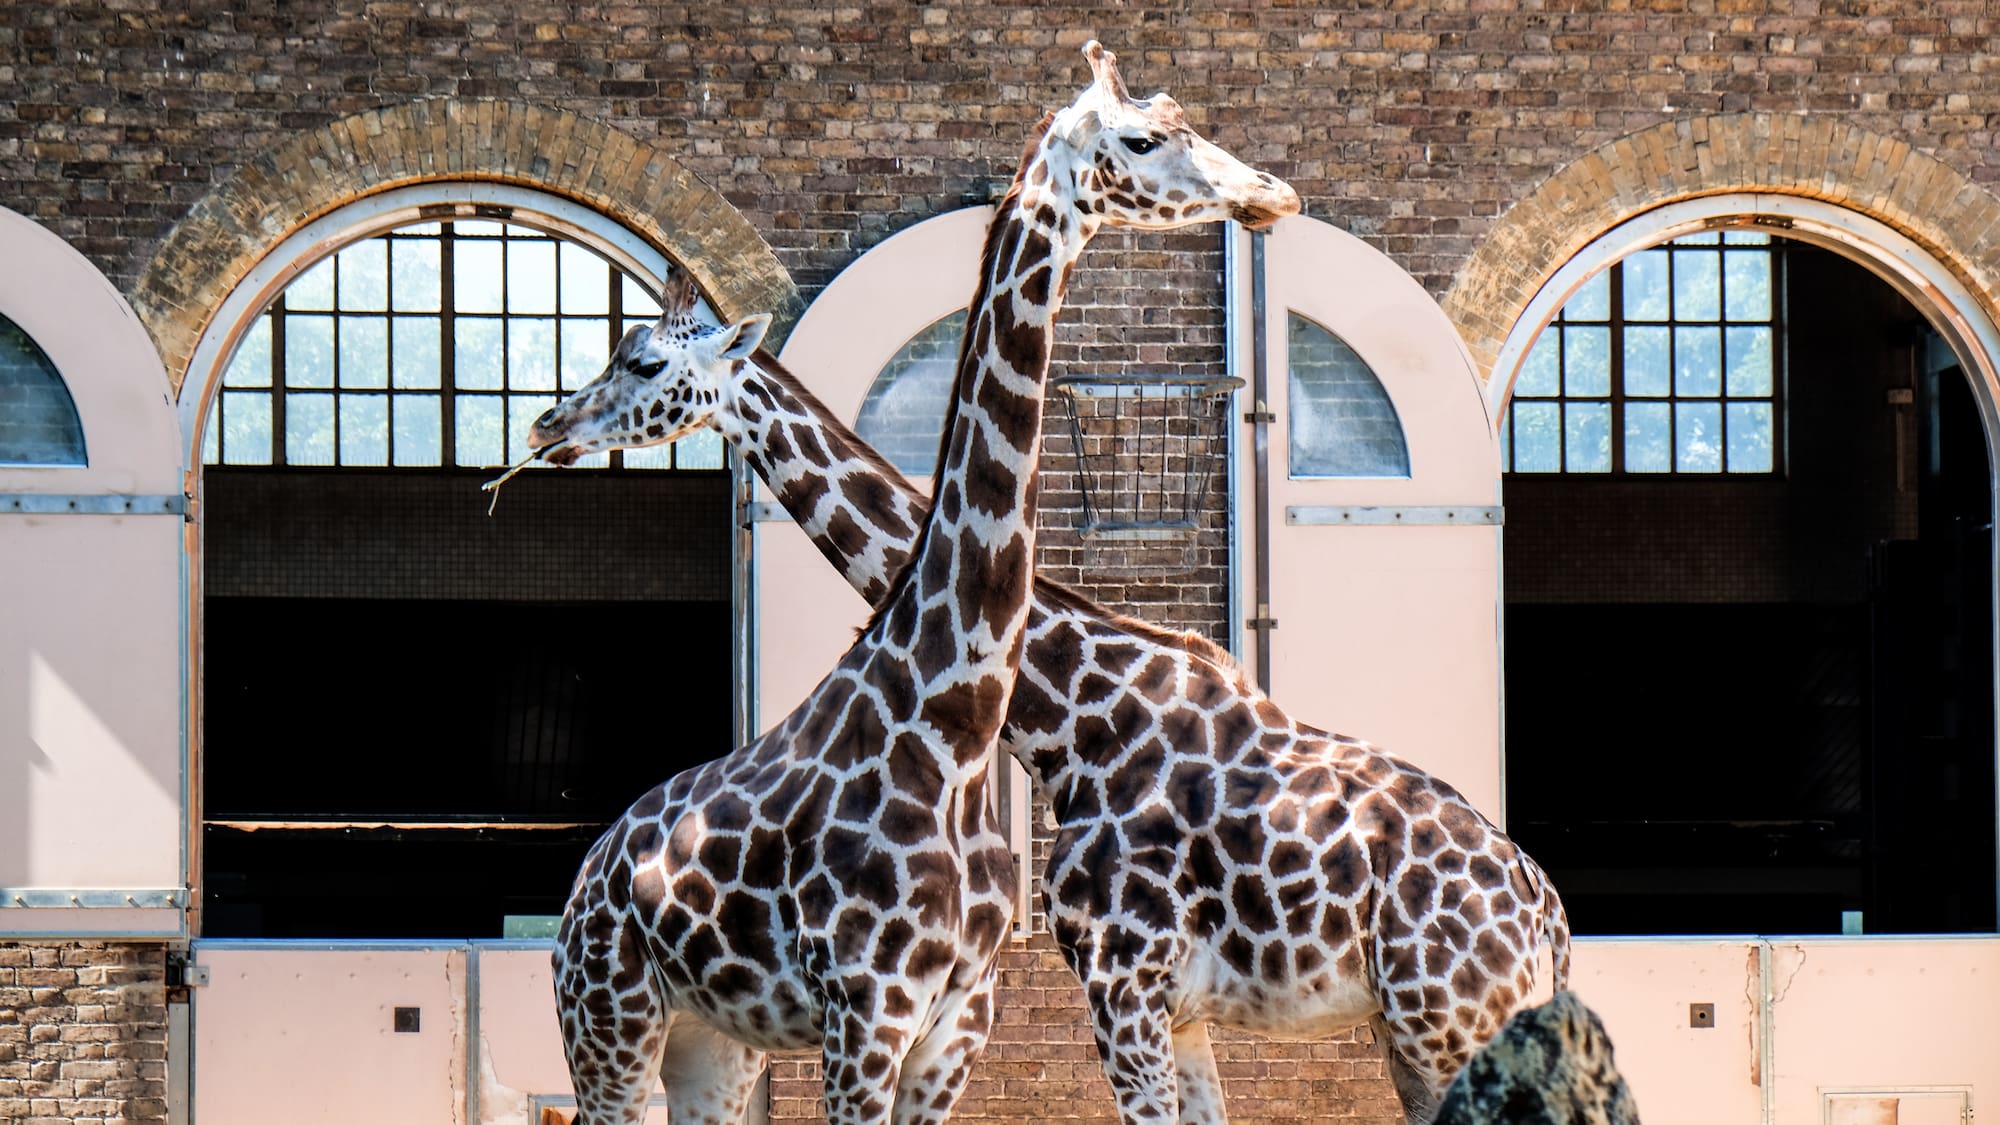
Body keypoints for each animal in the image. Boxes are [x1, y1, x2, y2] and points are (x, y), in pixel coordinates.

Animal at [535, 251, 1563, 1125]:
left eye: (639, 359)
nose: (549, 426)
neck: (1072, 719)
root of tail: (1544, 914)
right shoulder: (1174, 1009)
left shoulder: (1121, 983)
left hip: (1446, 1024)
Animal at [543, 42, 1301, 1125]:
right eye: (1142, 138)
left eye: (642, 359)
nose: (546, 424)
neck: (962, 721)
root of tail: (591, 865)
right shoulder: (872, 1011)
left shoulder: (966, 1017)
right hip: (617, 1024)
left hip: (712, 1043)